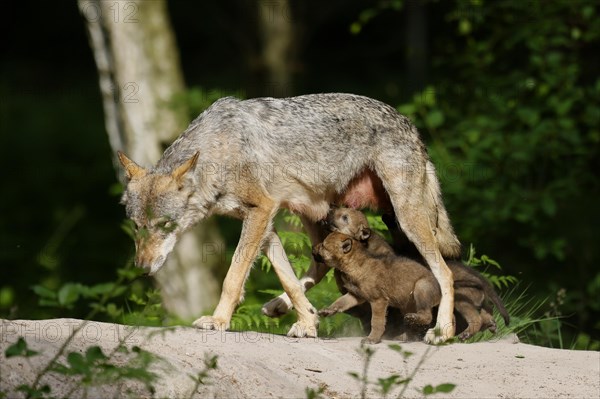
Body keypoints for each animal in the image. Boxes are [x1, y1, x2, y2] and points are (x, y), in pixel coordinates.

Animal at [118, 94, 464, 344]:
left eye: (165, 225)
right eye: (137, 227)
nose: (142, 267)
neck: (218, 150)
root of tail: (409, 124)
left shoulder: (261, 212)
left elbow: (232, 277)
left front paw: (218, 320)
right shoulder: (265, 222)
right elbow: (285, 275)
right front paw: (308, 321)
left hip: (406, 219)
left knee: (445, 273)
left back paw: (443, 331)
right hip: (318, 213)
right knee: (321, 264)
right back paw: (281, 305)